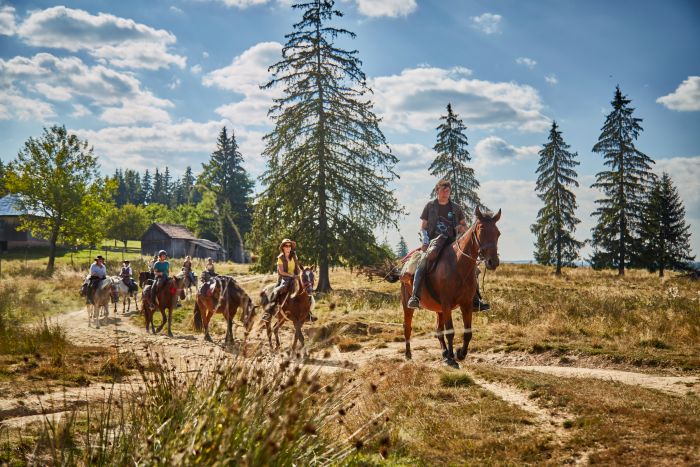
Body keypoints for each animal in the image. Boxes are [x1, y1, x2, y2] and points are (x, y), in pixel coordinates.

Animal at [400, 207, 504, 368]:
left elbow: (468, 332)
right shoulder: (447, 303)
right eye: (481, 230)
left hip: (439, 309)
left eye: (498, 233)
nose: (493, 262)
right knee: (407, 327)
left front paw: (459, 353)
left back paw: (444, 353)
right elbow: (450, 332)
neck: (457, 265)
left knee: (438, 330)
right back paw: (408, 355)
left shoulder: (466, 304)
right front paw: (452, 358)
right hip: (408, 304)